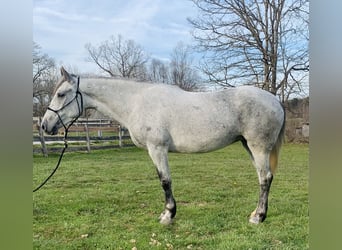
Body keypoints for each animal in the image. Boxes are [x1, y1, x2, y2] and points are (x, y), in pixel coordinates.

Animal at [41, 67, 284, 226]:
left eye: (61, 94)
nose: (44, 125)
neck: (136, 102)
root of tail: (275, 100)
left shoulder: (157, 148)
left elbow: (165, 181)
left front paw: (168, 215)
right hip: (249, 146)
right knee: (262, 177)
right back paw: (255, 213)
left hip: (258, 147)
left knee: (265, 179)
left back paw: (258, 217)